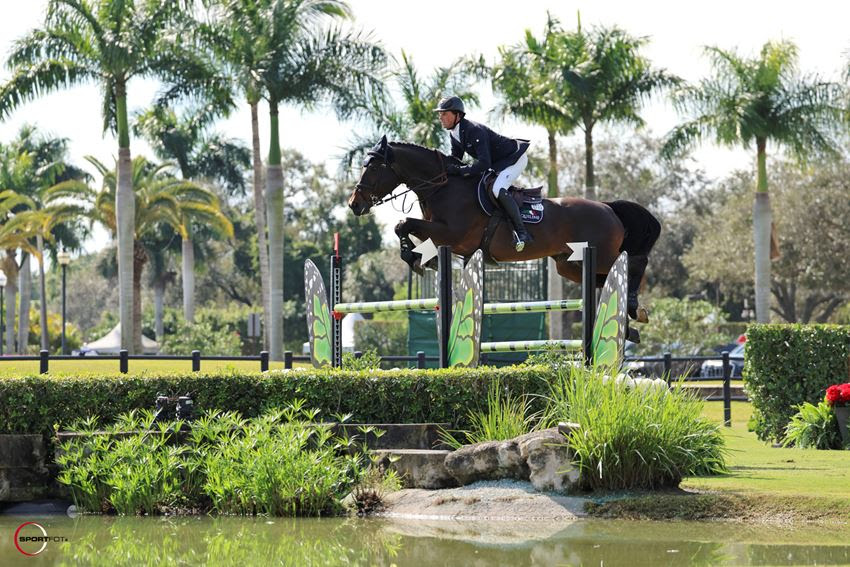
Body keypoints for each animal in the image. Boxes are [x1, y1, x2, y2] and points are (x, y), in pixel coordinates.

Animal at [348, 136, 660, 324]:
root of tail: (608, 208)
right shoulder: (440, 235)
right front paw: (421, 259)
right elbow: (406, 227)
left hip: (602, 254)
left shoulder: (451, 233)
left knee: (635, 263)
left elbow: (403, 223)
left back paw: (635, 307)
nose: (354, 204)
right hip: (569, 264)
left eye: (373, 168)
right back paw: (632, 317)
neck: (443, 186)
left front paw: (414, 259)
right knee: (603, 281)